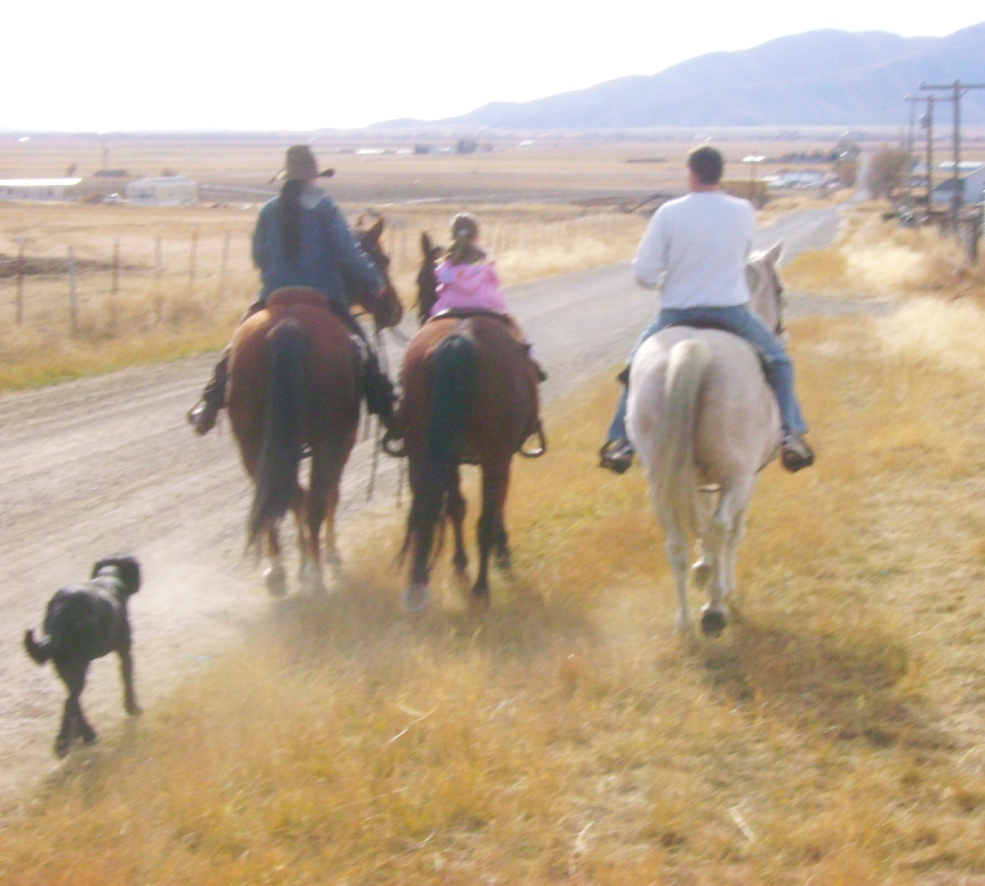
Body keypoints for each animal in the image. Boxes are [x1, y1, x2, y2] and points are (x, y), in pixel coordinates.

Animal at [25, 556, 142, 756]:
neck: (107, 578)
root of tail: (61, 611)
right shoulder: (125, 652)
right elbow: (127, 680)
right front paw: (132, 707)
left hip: (66, 666)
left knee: (73, 699)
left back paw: (85, 733)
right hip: (79, 664)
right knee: (70, 700)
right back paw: (64, 742)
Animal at [228, 219, 404, 600]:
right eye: (381, 258)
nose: (395, 307)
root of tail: (287, 324)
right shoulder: (341, 441)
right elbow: (331, 497)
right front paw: (330, 553)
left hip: (252, 443)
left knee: (280, 495)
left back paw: (278, 569)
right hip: (331, 441)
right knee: (315, 498)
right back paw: (314, 570)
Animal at [396, 316, 540, 612]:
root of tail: (459, 339)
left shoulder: (448, 458)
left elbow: (455, 507)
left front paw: (460, 561)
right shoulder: (499, 458)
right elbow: (493, 510)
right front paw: (502, 552)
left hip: (423, 453)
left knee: (428, 509)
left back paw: (418, 581)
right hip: (495, 457)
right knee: (486, 518)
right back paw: (481, 587)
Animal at [632, 239, 784, 636]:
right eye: (780, 291)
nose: (780, 331)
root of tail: (691, 348)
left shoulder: (695, 477)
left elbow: (698, 520)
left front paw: (703, 568)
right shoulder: (747, 480)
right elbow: (731, 532)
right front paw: (725, 587)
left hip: (660, 477)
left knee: (675, 541)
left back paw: (685, 621)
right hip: (736, 475)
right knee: (720, 528)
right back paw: (715, 609)